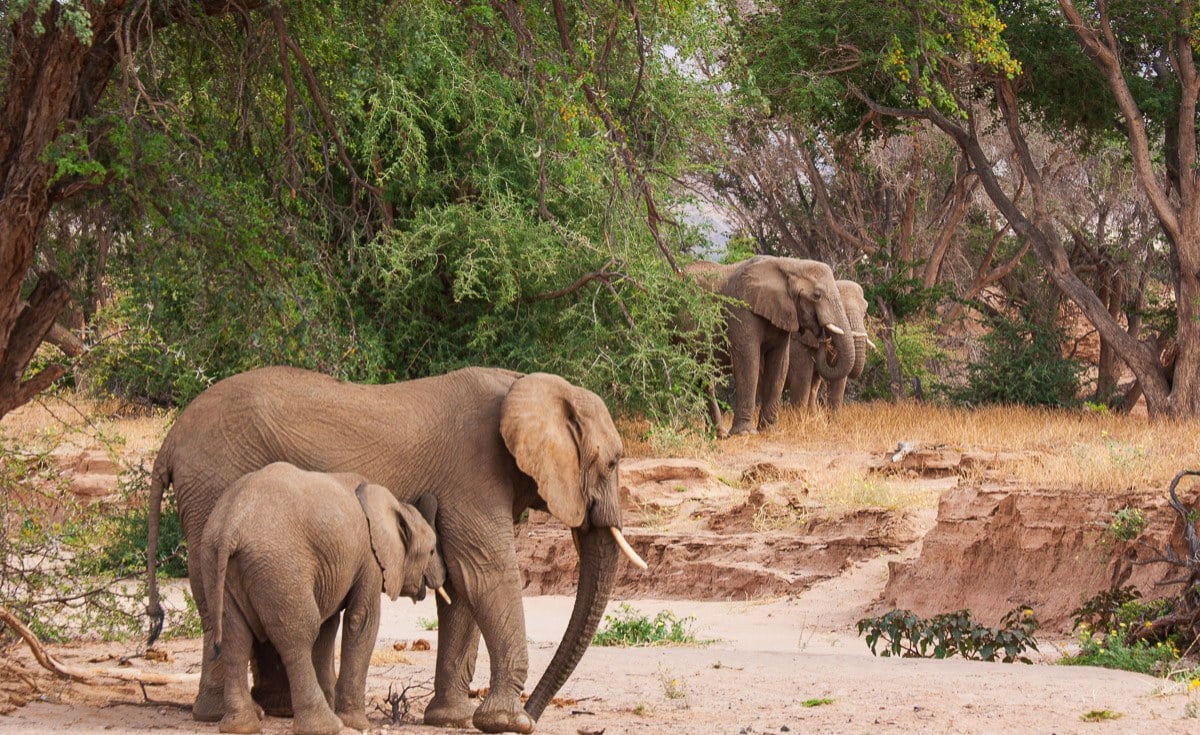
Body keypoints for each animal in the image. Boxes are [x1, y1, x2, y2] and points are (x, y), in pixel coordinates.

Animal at [201, 461, 446, 730]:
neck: (394, 506)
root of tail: (230, 527)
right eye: (431, 550)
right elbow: (361, 620)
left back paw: (241, 726)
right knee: (299, 636)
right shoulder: (370, 558)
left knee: (235, 636)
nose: (442, 577)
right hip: (279, 566)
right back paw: (326, 726)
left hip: (216, 562)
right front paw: (357, 724)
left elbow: (328, 627)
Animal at [686, 255, 854, 432]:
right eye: (817, 295)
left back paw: (719, 434)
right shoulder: (741, 310)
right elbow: (748, 360)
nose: (823, 337)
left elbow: (779, 363)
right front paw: (745, 433)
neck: (791, 264)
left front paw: (769, 430)